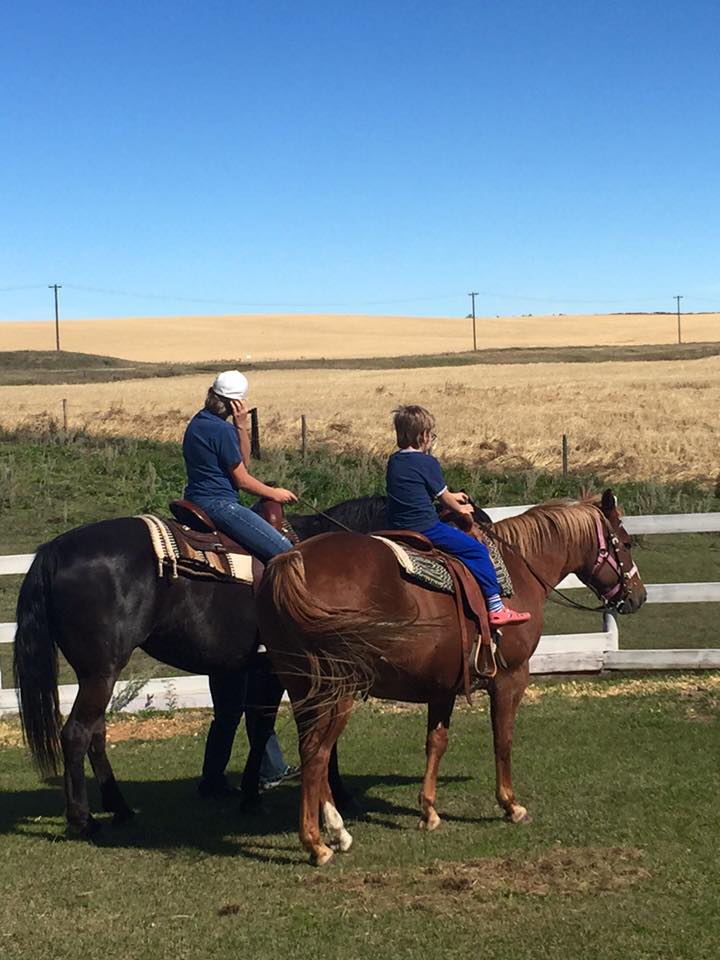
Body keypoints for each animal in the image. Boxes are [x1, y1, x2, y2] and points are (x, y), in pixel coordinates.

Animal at [258, 492, 648, 868]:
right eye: (626, 542)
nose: (639, 596)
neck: (519, 568)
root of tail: (291, 560)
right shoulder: (511, 678)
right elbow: (503, 740)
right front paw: (510, 804)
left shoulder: (441, 685)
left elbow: (436, 742)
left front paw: (429, 810)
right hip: (337, 692)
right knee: (317, 753)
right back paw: (317, 843)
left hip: (305, 689)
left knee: (313, 751)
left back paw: (337, 832)